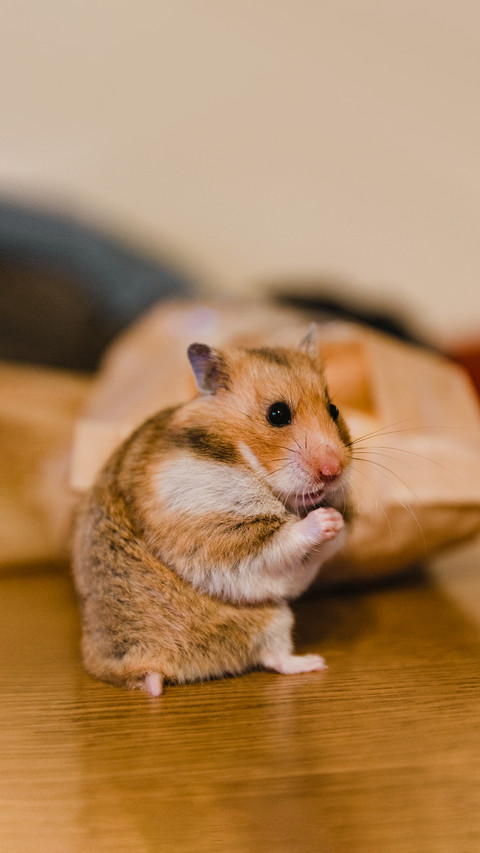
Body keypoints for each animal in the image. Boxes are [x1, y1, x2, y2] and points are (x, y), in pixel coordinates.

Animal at [72, 328, 352, 696]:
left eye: (334, 409)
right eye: (277, 414)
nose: (333, 472)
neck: (242, 456)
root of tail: (156, 664)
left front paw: (342, 519)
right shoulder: (220, 528)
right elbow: (282, 540)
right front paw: (329, 519)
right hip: (273, 617)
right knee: (275, 657)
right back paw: (314, 662)